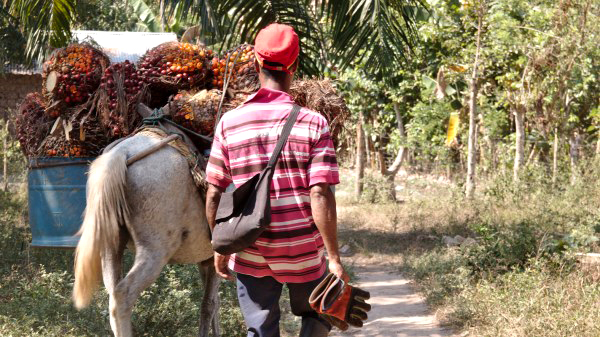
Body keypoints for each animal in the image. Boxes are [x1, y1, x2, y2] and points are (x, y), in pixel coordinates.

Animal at [71, 132, 219, 336]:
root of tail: (121, 153)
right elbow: (211, 304)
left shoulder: (207, 259)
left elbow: (210, 305)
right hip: (155, 250)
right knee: (123, 295)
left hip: (110, 247)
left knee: (112, 293)